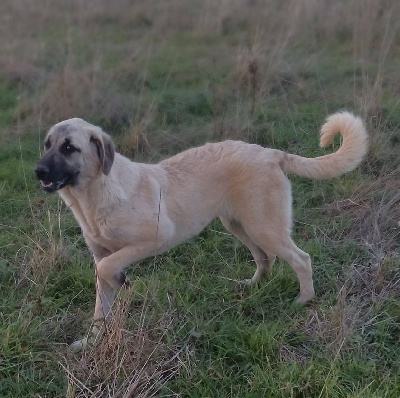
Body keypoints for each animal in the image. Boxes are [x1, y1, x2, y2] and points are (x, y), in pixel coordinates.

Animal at [35, 111, 368, 348]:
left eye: (69, 148)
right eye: (47, 144)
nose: (38, 171)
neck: (94, 196)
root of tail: (269, 152)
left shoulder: (156, 236)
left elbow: (107, 268)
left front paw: (121, 281)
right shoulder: (102, 254)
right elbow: (100, 308)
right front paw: (91, 342)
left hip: (263, 227)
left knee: (301, 259)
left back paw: (304, 300)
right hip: (239, 225)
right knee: (265, 258)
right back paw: (253, 285)